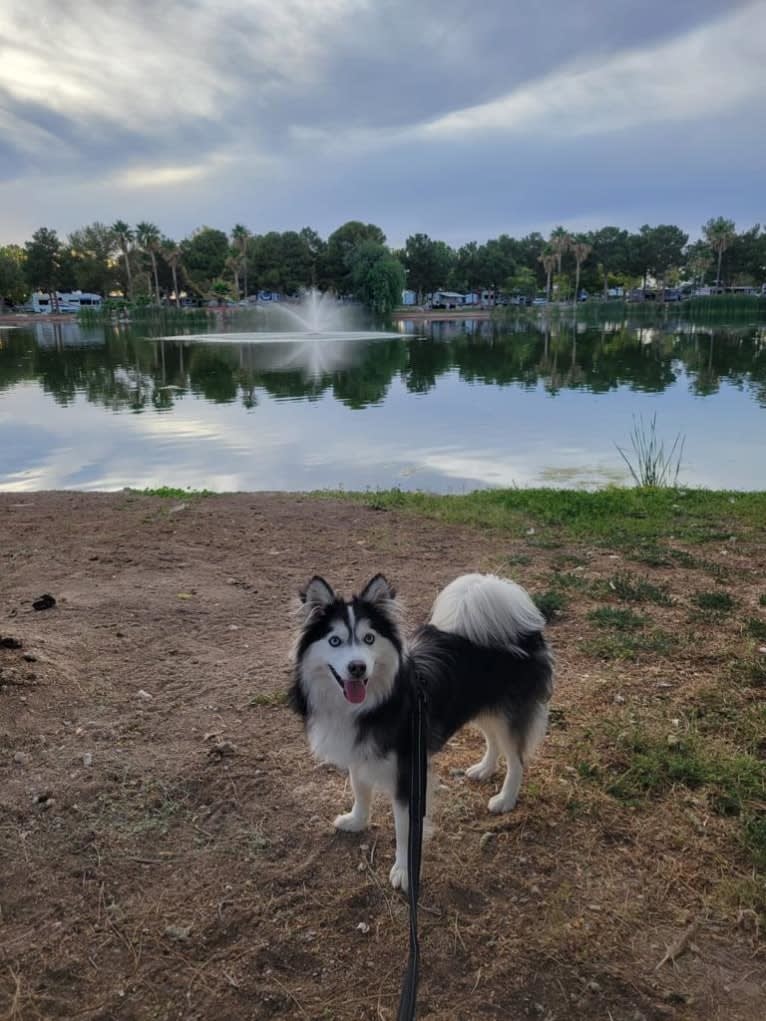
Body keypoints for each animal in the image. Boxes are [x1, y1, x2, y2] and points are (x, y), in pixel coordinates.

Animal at [290, 571, 555, 890]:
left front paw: (405, 872)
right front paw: (356, 821)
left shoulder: (408, 774)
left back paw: (505, 799)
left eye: (369, 638)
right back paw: (484, 769)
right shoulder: (358, 754)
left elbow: (405, 830)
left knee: (516, 760)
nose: (357, 668)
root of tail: (519, 626)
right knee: (493, 740)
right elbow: (360, 790)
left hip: (507, 715)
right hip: (482, 708)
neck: (375, 704)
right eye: (334, 641)